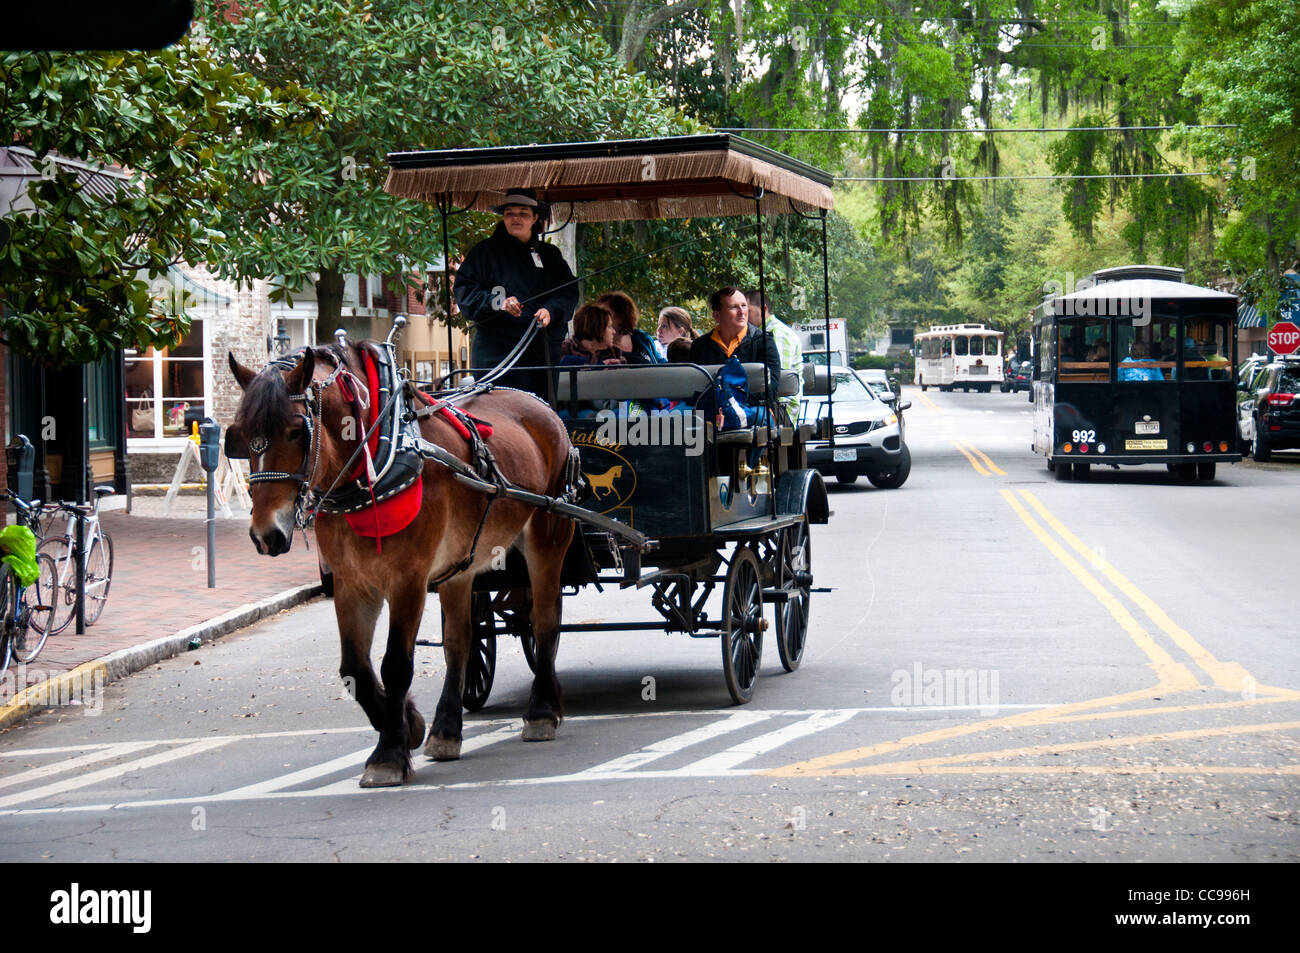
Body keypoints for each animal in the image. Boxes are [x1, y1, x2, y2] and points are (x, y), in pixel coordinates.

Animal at [227, 345, 574, 785]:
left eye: (294, 431)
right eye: (241, 434)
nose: (265, 534)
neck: (378, 462)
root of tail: (538, 404)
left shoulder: (408, 579)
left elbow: (394, 664)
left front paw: (388, 754)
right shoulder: (352, 583)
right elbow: (355, 669)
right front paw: (410, 725)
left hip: (549, 536)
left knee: (544, 622)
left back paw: (541, 711)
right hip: (459, 566)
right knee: (461, 641)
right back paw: (447, 729)